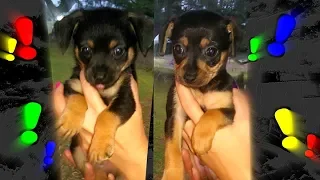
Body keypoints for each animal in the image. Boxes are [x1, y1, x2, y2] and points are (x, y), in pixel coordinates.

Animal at [52, 6, 153, 179]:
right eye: (85, 49)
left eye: (118, 51)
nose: (99, 76)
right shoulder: (72, 84)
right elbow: (78, 98)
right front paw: (69, 122)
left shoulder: (126, 98)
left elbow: (106, 115)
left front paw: (99, 146)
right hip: (78, 154)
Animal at [159, 10, 240, 180]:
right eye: (178, 48)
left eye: (211, 51)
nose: (188, 77)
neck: (201, 89)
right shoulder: (175, 116)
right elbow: (172, 150)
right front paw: (172, 175)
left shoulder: (229, 110)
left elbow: (212, 113)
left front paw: (200, 138)